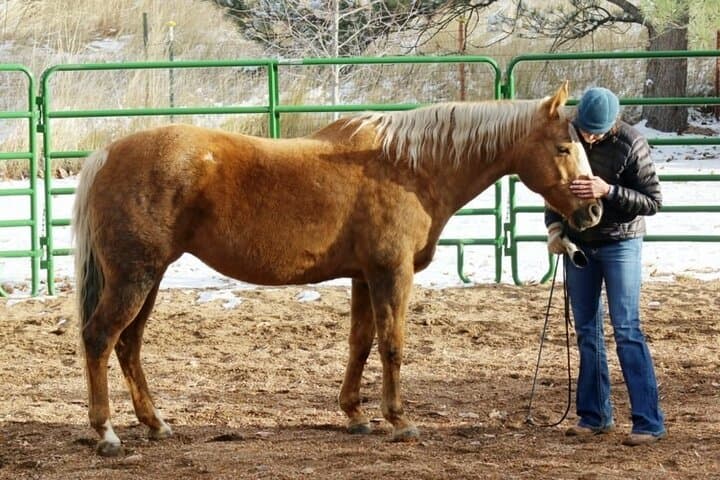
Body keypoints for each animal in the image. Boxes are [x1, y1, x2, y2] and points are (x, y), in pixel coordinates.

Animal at [72, 81, 602, 456]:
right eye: (563, 148)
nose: (593, 212)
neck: (409, 168)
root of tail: (107, 155)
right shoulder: (392, 274)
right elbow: (392, 345)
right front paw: (399, 421)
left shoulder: (364, 276)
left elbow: (360, 343)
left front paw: (356, 415)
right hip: (135, 277)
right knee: (100, 339)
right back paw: (107, 433)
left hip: (149, 278)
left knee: (129, 345)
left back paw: (155, 424)